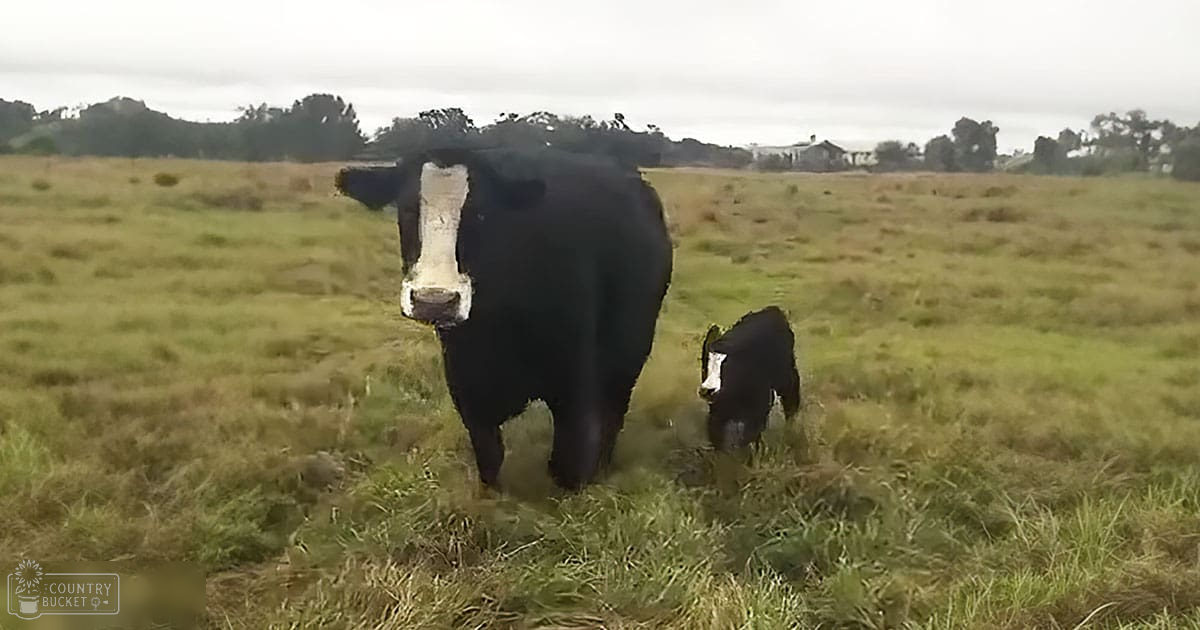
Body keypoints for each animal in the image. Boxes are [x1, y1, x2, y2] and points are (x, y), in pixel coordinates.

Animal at [334, 147, 673, 490]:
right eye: (406, 211)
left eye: (482, 214)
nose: (434, 301)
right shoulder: (468, 387)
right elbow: (490, 459)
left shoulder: (574, 386)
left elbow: (567, 464)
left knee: (613, 412)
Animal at [698, 306, 802, 451]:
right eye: (705, 363)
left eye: (728, 366)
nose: (707, 390)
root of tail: (773, 310)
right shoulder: (717, 414)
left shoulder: (759, 410)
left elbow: (750, 439)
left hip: (787, 376)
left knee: (791, 401)